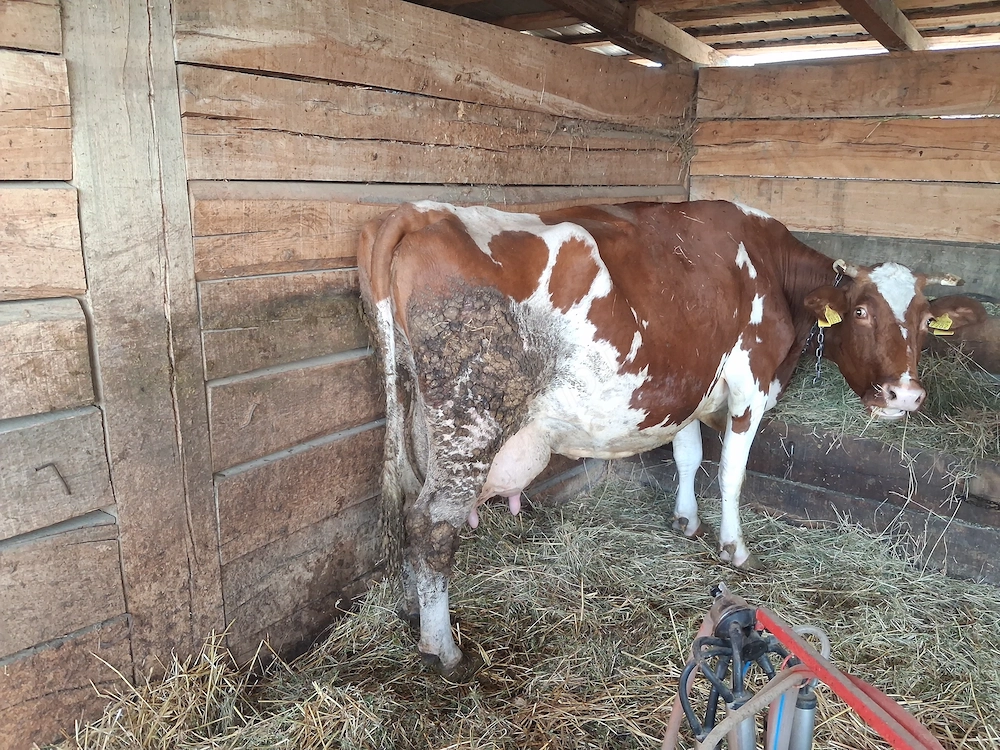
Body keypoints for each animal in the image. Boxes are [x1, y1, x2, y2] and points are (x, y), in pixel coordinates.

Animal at [357, 199, 971, 676]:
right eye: (862, 311)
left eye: (924, 321)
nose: (905, 396)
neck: (771, 269)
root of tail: (424, 210)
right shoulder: (749, 383)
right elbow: (730, 472)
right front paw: (734, 548)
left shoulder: (694, 386)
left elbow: (687, 454)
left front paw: (685, 520)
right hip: (470, 417)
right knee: (431, 523)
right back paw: (441, 648)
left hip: (418, 410)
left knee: (409, 503)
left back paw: (413, 612)